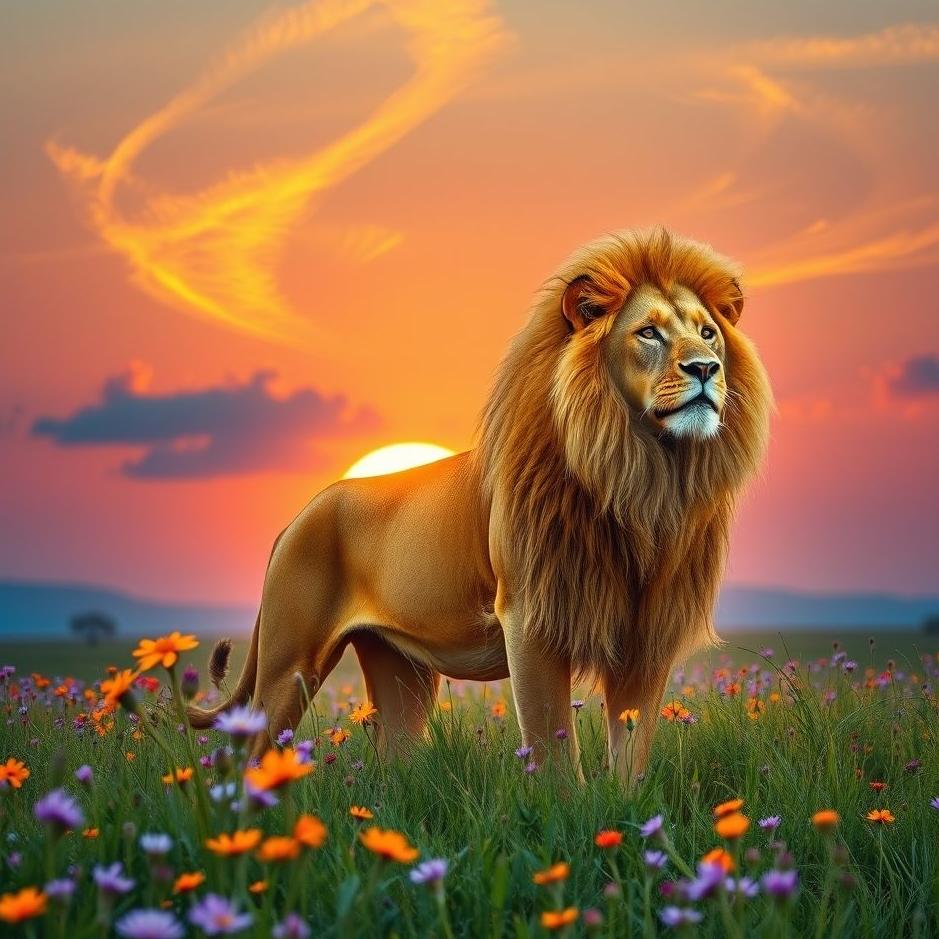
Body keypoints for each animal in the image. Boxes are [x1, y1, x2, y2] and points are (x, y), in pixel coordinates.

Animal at [188, 227, 772, 780]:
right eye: (648, 332)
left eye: (708, 332)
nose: (706, 368)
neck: (642, 476)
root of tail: (296, 518)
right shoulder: (531, 617)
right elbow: (554, 754)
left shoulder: (647, 633)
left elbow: (631, 754)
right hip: (290, 664)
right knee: (253, 751)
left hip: (399, 668)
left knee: (394, 755)